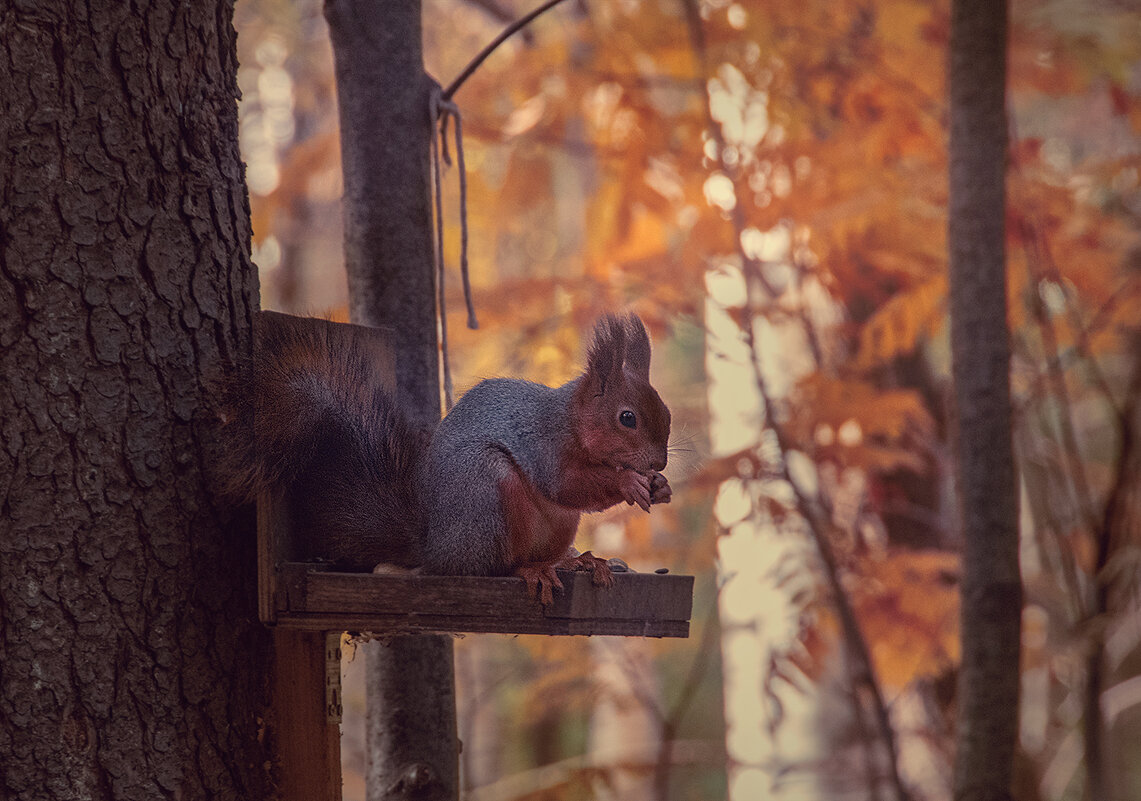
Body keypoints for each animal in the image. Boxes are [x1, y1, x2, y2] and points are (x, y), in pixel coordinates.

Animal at [221, 310, 666, 607]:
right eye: (627, 418)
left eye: (666, 411)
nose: (659, 464)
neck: (570, 420)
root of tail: (435, 549)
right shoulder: (544, 444)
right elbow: (567, 485)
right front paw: (628, 481)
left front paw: (659, 488)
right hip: (486, 493)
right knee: (489, 567)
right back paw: (529, 569)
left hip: (554, 525)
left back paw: (578, 563)